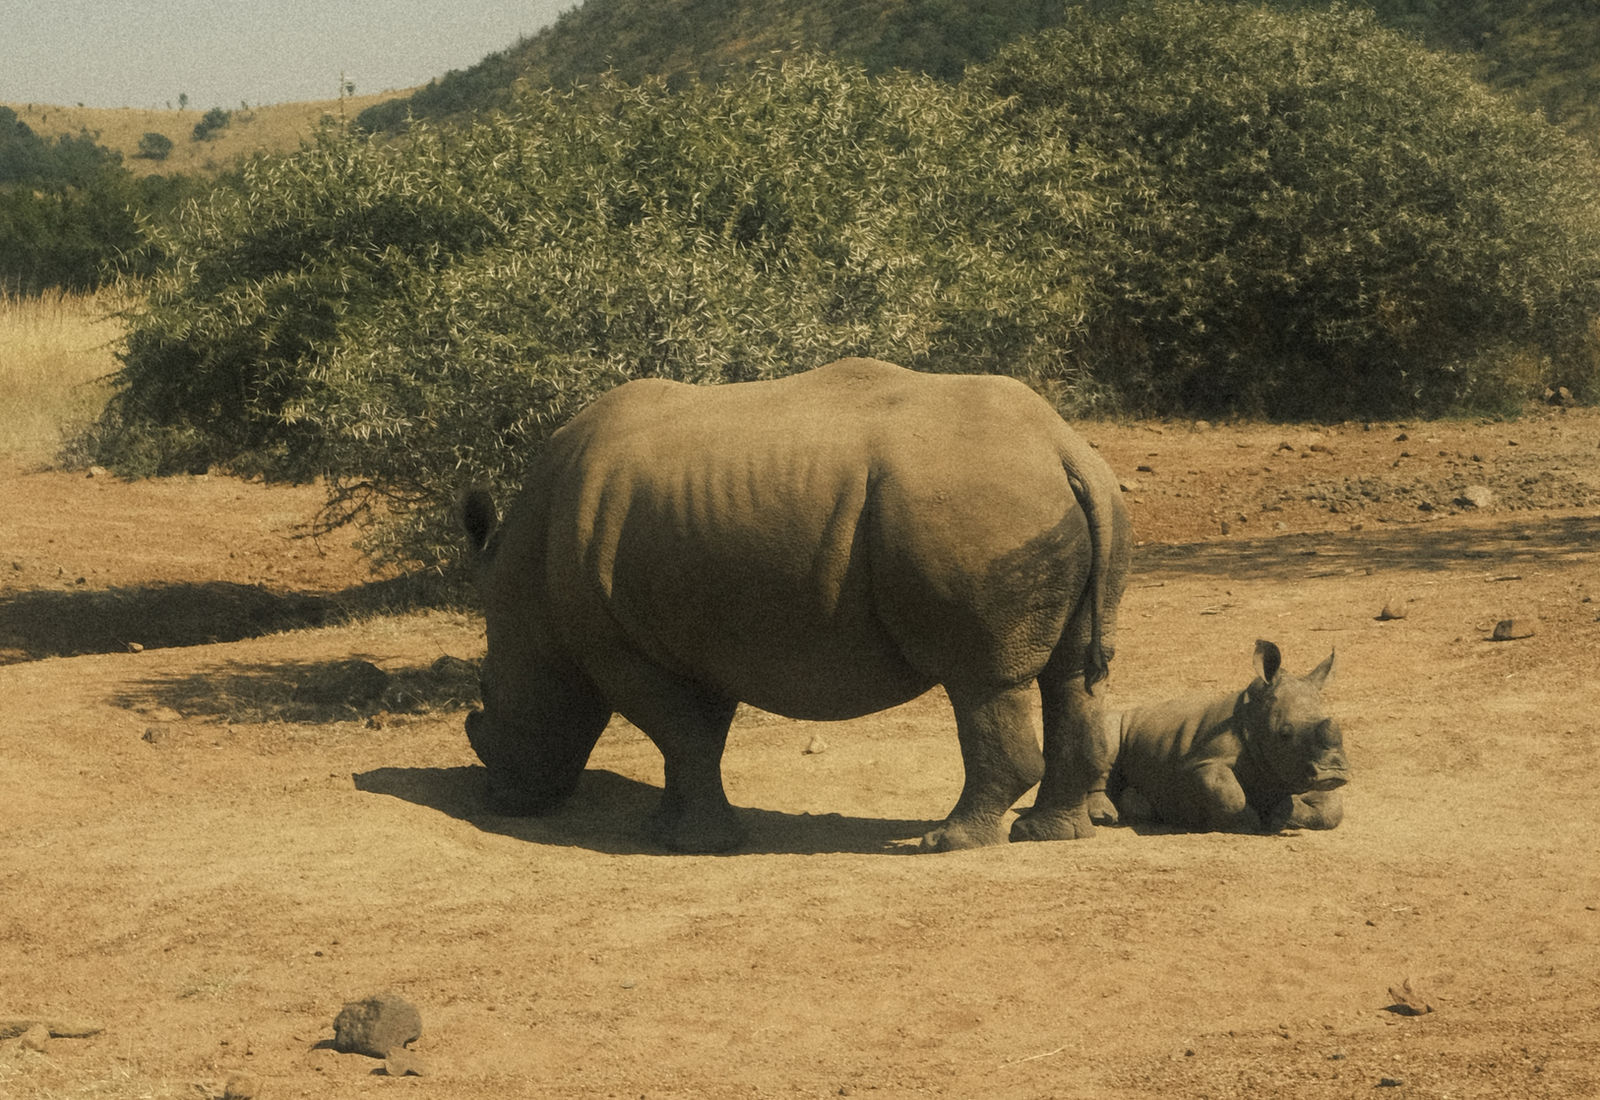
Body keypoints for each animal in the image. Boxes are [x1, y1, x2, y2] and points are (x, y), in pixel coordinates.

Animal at [460, 357, 1132, 853]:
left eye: (488, 693)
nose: (502, 800)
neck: (524, 578)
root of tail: (1062, 447)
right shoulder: (699, 635)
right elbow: (697, 737)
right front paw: (674, 831)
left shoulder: (616, 646)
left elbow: (679, 733)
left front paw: (689, 845)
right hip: (1069, 502)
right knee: (1072, 674)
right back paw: (1051, 835)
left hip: (977, 506)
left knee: (980, 681)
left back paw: (950, 842)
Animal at [1084, 640, 1348, 833]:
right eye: (1284, 733)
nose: (1334, 772)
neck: (1254, 717)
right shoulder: (1201, 763)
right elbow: (1231, 795)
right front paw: (1251, 820)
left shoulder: (1295, 769)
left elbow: (1333, 808)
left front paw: (1282, 813)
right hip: (1114, 722)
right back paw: (1105, 816)